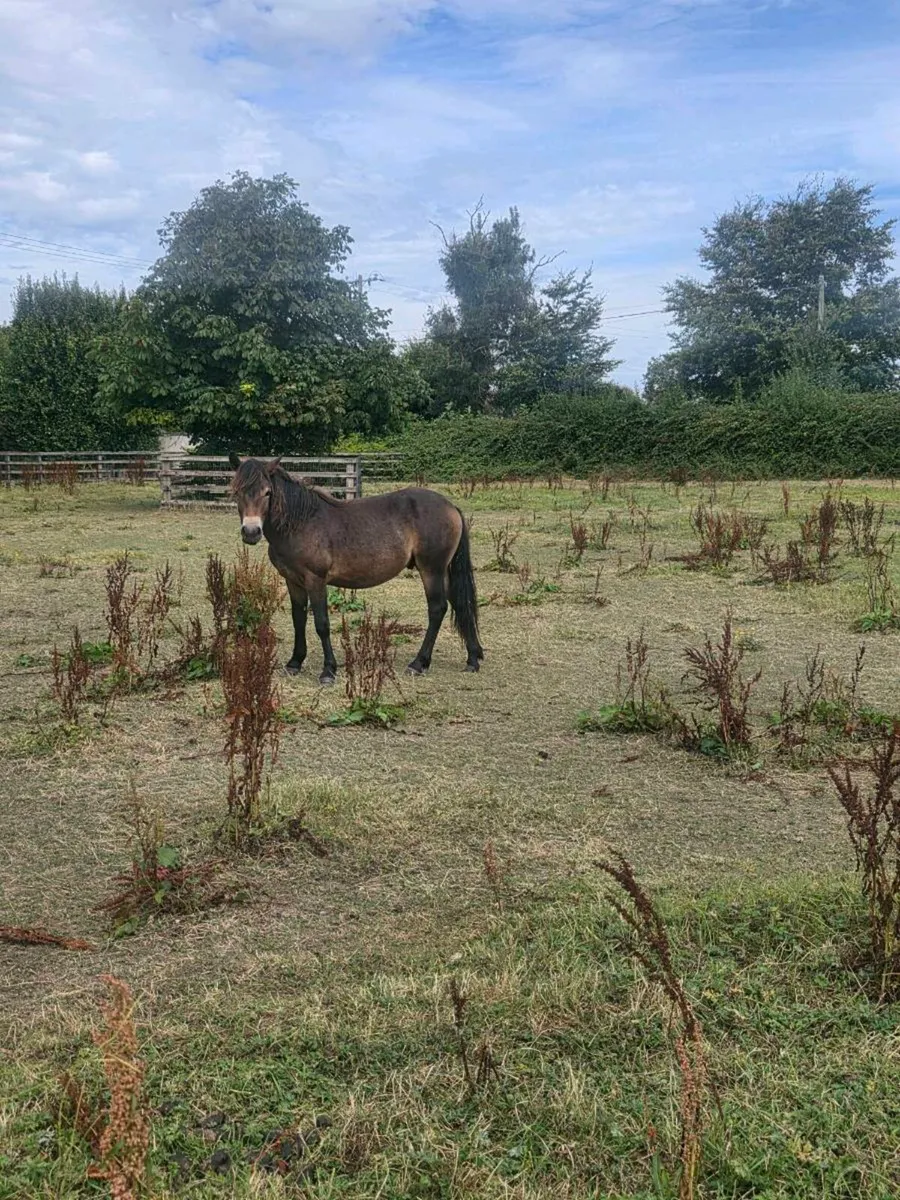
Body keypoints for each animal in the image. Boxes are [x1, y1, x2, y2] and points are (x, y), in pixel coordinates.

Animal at [228, 454, 484, 684]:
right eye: (237, 492)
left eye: (267, 492)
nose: (251, 532)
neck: (301, 524)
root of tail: (450, 506)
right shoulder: (293, 581)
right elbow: (298, 619)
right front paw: (295, 663)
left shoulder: (315, 580)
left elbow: (321, 623)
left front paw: (328, 670)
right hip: (443, 571)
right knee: (460, 603)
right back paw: (472, 658)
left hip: (432, 569)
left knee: (437, 609)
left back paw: (419, 663)